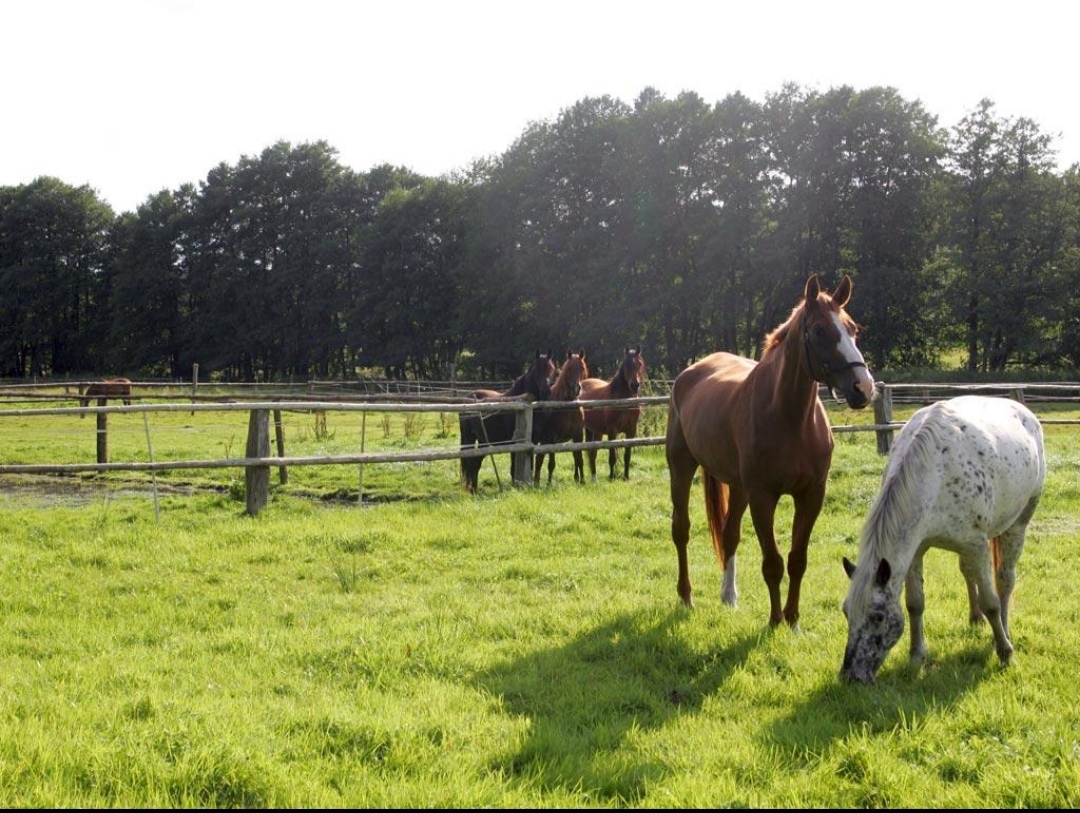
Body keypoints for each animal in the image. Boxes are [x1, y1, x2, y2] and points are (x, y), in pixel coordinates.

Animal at [459, 351, 557, 493]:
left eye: (552, 369)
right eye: (537, 370)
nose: (547, 392)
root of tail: (467, 398)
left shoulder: (531, 442)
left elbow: (530, 466)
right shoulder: (515, 443)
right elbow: (513, 469)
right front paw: (515, 487)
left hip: (483, 440)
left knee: (475, 463)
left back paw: (474, 490)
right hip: (469, 438)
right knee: (470, 462)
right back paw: (472, 490)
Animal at [532, 348, 589, 486]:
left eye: (582, 368)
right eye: (569, 368)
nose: (576, 389)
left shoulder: (578, 436)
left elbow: (579, 459)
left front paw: (582, 481)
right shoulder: (552, 438)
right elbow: (551, 463)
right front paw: (548, 484)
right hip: (543, 441)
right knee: (538, 460)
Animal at [580, 345, 647, 481]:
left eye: (640, 364)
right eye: (626, 365)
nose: (634, 385)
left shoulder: (631, 431)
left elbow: (627, 456)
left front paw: (626, 477)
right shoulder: (612, 431)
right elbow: (612, 457)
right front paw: (611, 477)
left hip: (596, 431)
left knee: (592, 453)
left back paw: (594, 477)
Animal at [665, 274, 874, 627]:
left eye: (853, 329)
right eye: (820, 330)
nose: (863, 387)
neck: (790, 419)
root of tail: (691, 373)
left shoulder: (811, 495)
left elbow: (797, 559)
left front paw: (793, 619)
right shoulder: (763, 497)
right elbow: (773, 563)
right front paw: (776, 620)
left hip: (738, 487)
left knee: (730, 534)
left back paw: (729, 596)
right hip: (682, 469)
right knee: (681, 530)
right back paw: (685, 596)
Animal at [839, 395, 1046, 684]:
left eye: (877, 617)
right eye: (846, 612)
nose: (851, 676)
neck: (935, 473)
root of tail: (1024, 411)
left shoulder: (977, 546)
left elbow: (991, 602)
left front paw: (1005, 652)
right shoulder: (916, 550)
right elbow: (915, 603)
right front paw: (917, 655)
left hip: (1017, 524)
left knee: (1004, 581)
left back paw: (1003, 631)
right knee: (968, 572)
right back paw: (975, 618)